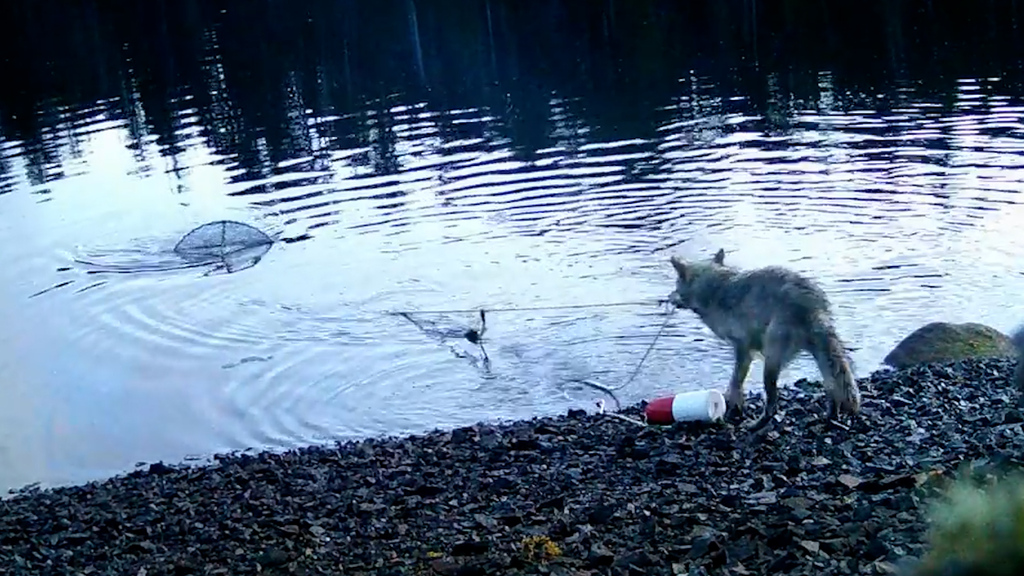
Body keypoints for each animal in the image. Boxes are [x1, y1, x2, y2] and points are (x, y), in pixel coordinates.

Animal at [666, 248, 861, 432]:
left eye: (676, 284)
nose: (667, 298)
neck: (713, 289)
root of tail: (811, 305)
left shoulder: (742, 349)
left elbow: (735, 383)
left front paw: (732, 407)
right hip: (820, 354)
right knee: (832, 387)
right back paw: (830, 418)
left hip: (771, 362)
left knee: (773, 403)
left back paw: (757, 425)